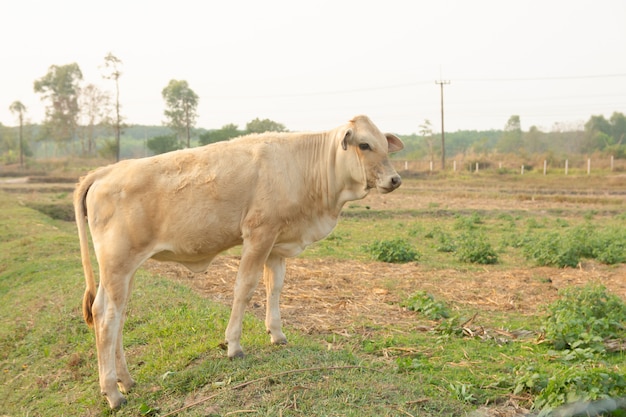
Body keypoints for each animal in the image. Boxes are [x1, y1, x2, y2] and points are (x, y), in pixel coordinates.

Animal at [73, 114, 404, 406]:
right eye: (364, 145)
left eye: (385, 146)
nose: (395, 179)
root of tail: (104, 172)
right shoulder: (258, 235)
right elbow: (244, 288)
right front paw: (234, 346)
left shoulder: (276, 244)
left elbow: (275, 289)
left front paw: (277, 334)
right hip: (118, 265)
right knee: (106, 317)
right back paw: (113, 393)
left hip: (122, 272)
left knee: (115, 316)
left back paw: (126, 381)